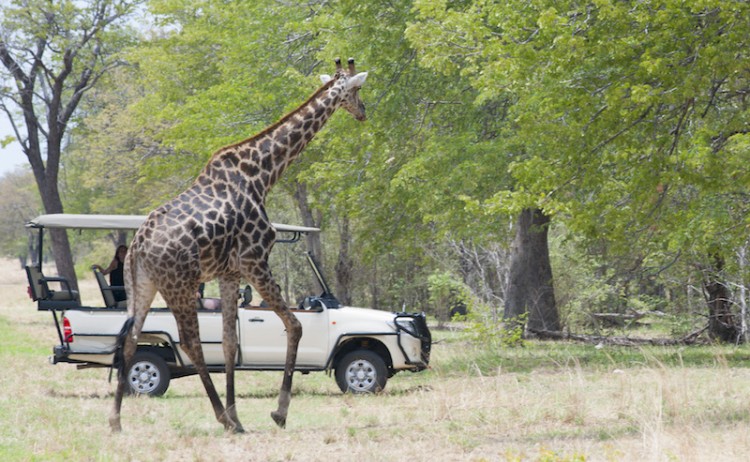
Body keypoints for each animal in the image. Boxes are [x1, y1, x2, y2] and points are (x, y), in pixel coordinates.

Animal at [109, 58, 368, 433]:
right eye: (357, 90)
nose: (363, 112)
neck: (263, 174)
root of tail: (139, 247)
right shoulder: (255, 260)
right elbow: (295, 325)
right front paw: (278, 412)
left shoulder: (229, 272)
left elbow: (231, 343)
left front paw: (239, 414)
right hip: (180, 284)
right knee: (190, 342)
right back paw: (221, 418)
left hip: (142, 284)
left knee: (130, 339)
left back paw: (116, 421)